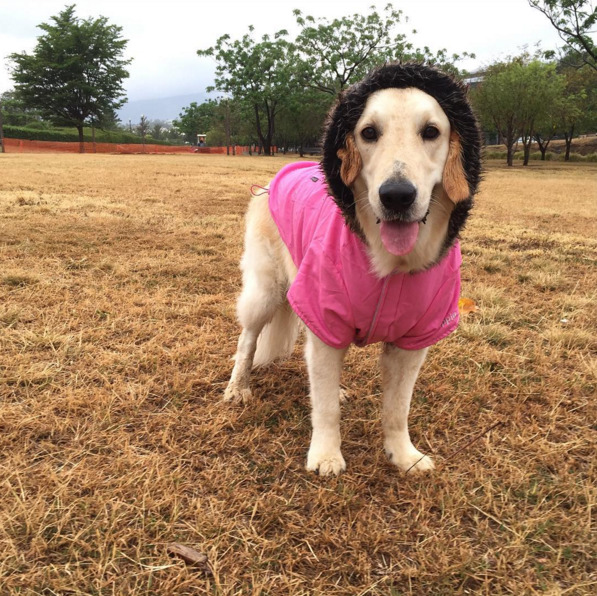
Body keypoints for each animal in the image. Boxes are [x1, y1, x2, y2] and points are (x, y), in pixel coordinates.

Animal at [222, 64, 480, 474]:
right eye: (368, 133)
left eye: (431, 132)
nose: (396, 196)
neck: (391, 267)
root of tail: (279, 175)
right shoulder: (325, 318)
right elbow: (325, 408)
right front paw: (326, 455)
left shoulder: (411, 343)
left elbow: (397, 409)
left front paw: (403, 455)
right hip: (266, 291)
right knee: (247, 342)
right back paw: (237, 387)